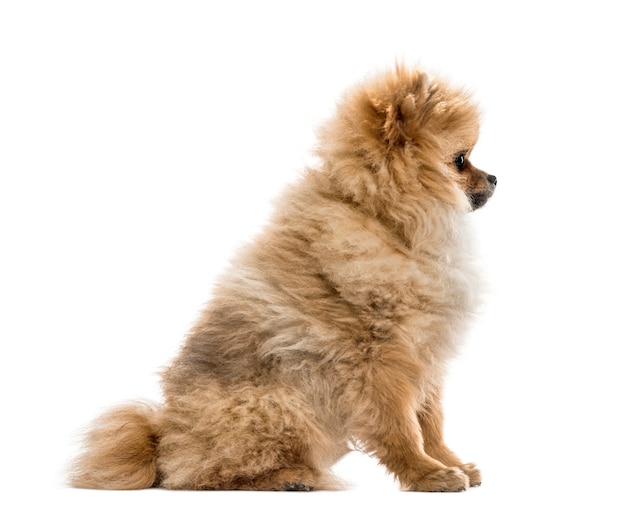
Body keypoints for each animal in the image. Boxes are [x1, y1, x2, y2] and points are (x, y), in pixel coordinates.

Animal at [70, 64, 494, 492]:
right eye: (460, 160)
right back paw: (291, 477)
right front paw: (428, 474)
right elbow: (401, 427)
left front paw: (449, 462)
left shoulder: (423, 352)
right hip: (273, 406)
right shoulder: (377, 362)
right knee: (215, 474)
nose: (494, 177)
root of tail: (164, 438)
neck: (383, 219)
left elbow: (430, 422)